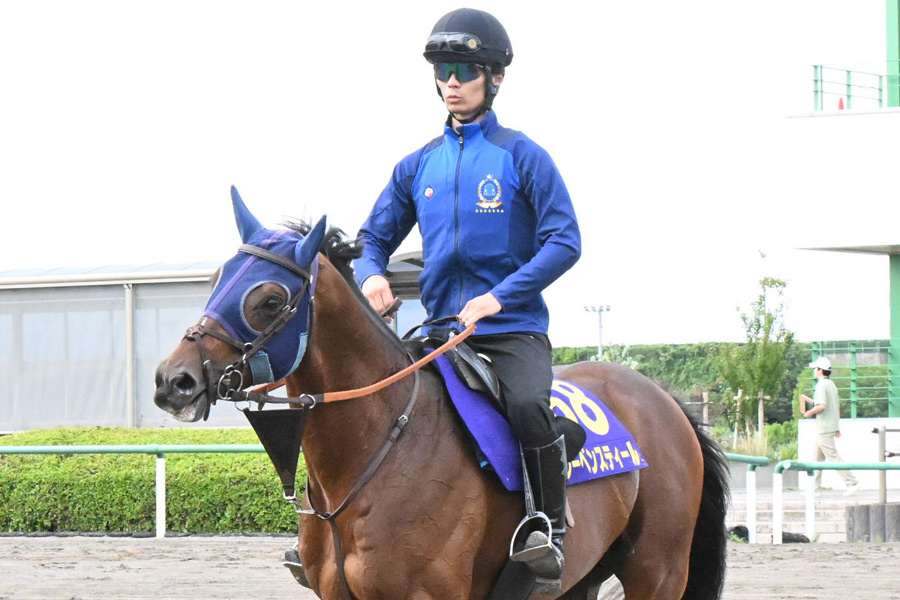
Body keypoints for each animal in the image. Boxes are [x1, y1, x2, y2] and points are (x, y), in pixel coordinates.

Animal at [154, 188, 729, 600]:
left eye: (270, 300)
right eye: (216, 278)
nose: (173, 380)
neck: (376, 450)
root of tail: (666, 400)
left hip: (658, 572)